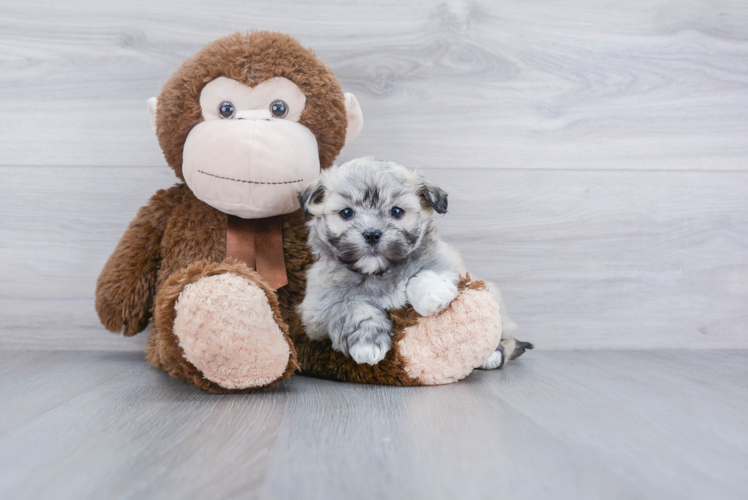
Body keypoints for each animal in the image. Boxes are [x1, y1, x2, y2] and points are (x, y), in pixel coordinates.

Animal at [296, 158, 464, 366]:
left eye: (397, 211)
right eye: (346, 213)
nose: (372, 234)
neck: (378, 273)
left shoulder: (444, 258)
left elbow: (425, 271)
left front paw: (434, 293)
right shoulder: (318, 311)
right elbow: (355, 307)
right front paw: (367, 344)